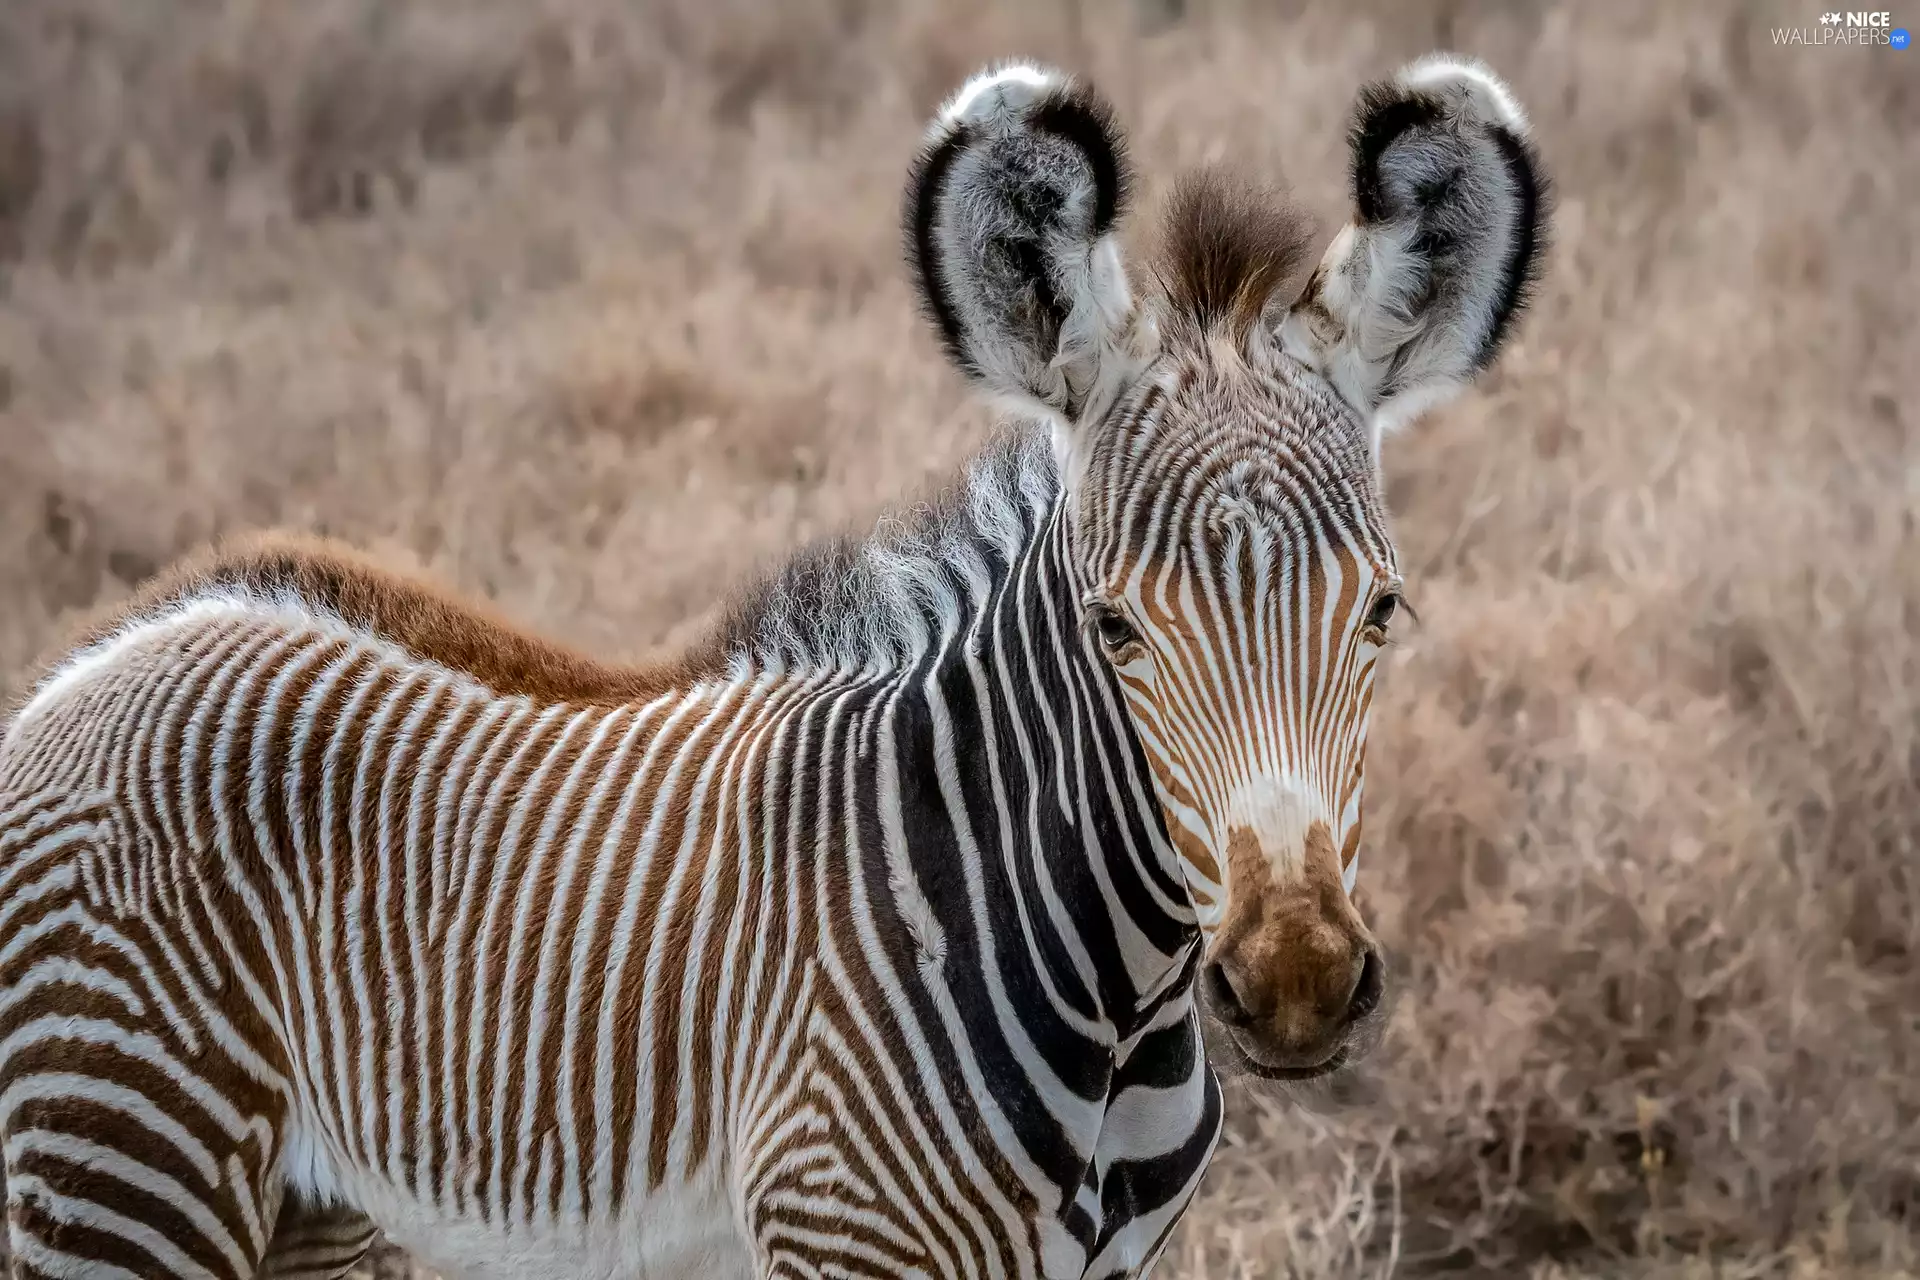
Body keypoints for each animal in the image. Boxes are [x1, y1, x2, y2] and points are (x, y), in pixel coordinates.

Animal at [0, 52, 1546, 1280]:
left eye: (1382, 613)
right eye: (1115, 629)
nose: (1295, 983)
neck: (1111, 997)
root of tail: (87, 672)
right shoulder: (836, 1233)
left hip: (301, 1213)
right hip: (123, 1163)